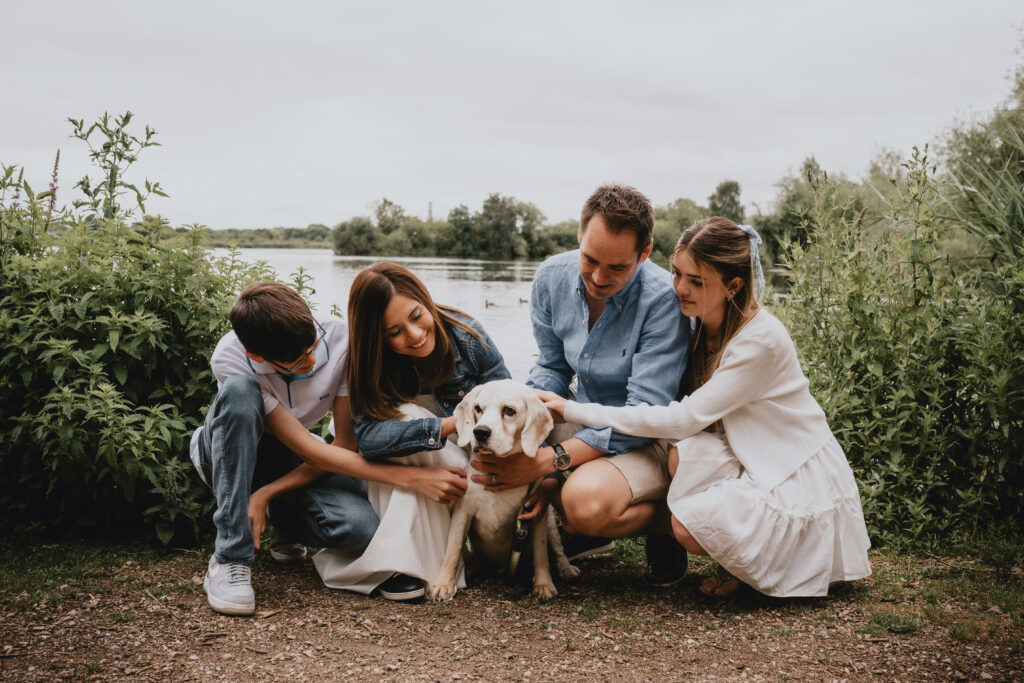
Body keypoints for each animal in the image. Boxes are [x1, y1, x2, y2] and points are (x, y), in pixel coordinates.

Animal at [428, 378, 581, 598]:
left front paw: (544, 584)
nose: (480, 432)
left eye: (509, 410)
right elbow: (453, 549)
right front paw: (443, 584)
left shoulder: (535, 516)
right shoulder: (462, 512)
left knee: (557, 548)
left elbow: (541, 553)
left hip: (551, 523)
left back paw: (565, 568)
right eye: (478, 408)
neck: (498, 469)